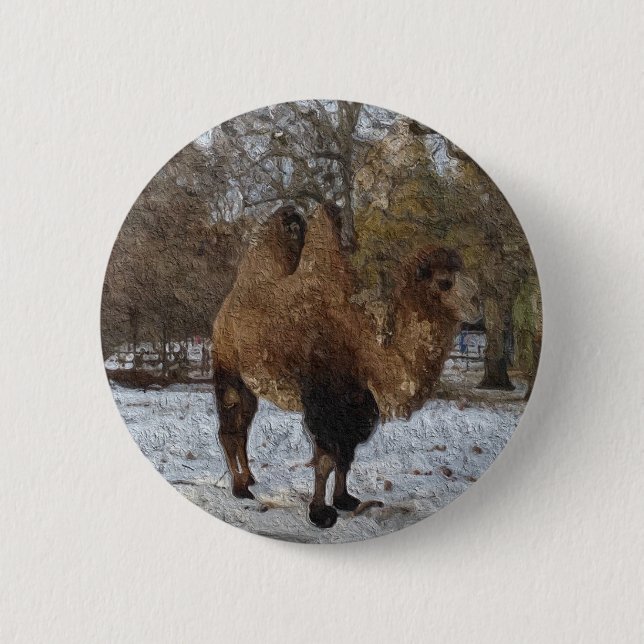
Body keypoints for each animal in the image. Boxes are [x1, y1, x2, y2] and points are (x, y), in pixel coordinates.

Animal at [212, 202, 479, 528]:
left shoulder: (358, 403)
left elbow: (346, 456)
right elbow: (326, 458)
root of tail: (227, 307)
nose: (477, 302)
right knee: (230, 428)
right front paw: (320, 513)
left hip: (251, 381)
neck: (363, 341)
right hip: (227, 368)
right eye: (444, 282)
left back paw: (250, 479)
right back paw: (239, 488)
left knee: (243, 426)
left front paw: (344, 500)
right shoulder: (324, 401)